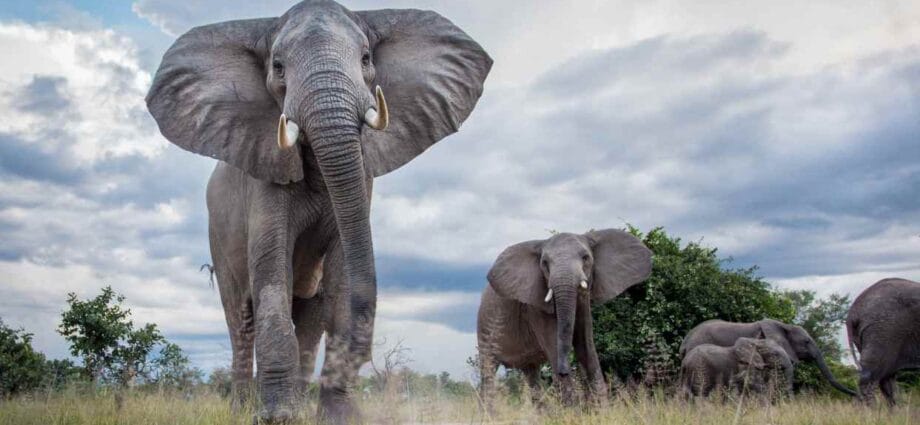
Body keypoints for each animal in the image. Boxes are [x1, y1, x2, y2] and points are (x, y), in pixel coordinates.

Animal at [145, 1, 491, 422]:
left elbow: (342, 273)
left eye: (365, 59)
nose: (364, 355)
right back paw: (243, 409)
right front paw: (275, 418)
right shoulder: (265, 173)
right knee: (241, 317)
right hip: (219, 236)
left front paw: (339, 417)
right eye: (278, 66)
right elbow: (271, 272)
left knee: (310, 319)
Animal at [477, 229, 652, 407]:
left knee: (531, 373)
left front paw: (602, 409)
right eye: (545, 263)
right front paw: (572, 409)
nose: (564, 371)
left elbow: (586, 347)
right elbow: (555, 346)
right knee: (488, 369)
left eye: (585, 257)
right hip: (485, 328)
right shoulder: (536, 307)